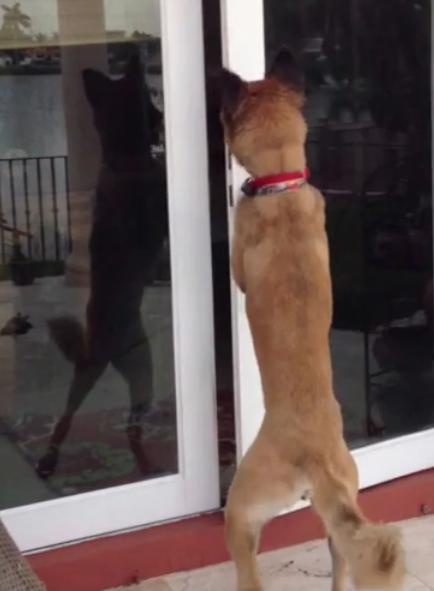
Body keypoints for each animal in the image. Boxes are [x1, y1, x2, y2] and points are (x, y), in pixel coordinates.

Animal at [222, 49, 406, 591]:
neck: (281, 182)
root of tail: (317, 458)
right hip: (339, 519)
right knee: (343, 566)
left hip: (242, 512)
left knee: (249, 573)